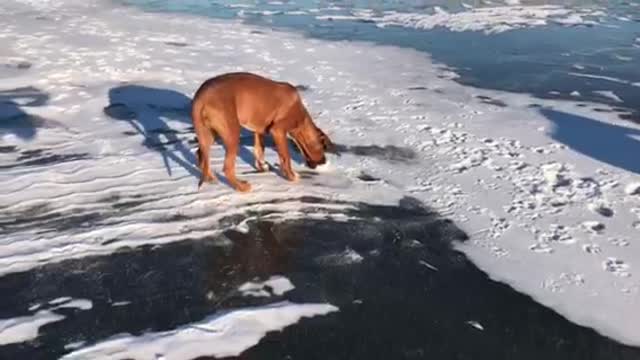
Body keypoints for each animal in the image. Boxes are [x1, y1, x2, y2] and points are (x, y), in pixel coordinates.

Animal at [191, 71, 336, 193]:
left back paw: (210, 178)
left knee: (201, 155)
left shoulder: (259, 130)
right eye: (324, 147)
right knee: (227, 167)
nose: (324, 161)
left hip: (208, 133)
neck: (301, 118)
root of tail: (201, 97)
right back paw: (241, 187)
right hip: (232, 133)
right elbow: (285, 156)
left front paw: (262, 166)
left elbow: (259, 149)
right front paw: (291, 176)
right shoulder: (278, 131)